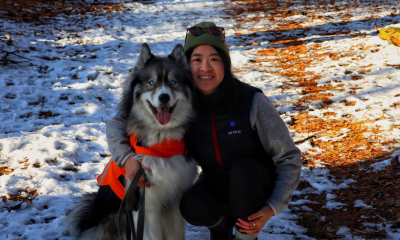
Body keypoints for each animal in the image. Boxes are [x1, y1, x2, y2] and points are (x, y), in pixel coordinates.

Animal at [67, 43, 198, 240]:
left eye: (173, 82)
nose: (164, 97)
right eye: (151, 83)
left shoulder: (174, 201)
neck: (162, 139)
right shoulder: (147, 203)